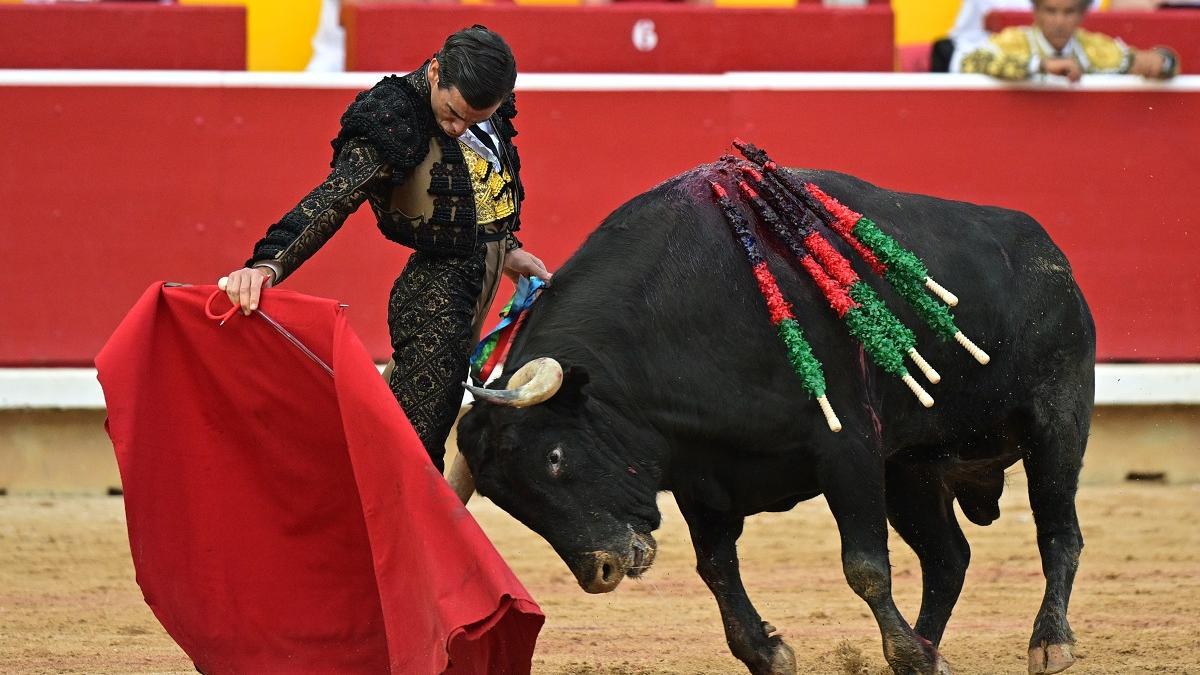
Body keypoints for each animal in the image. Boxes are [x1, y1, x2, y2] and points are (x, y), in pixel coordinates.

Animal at [456, 164, 1099, 672]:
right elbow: (716, 568)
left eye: (554, 457)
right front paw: (769, 653)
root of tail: (1052, 256)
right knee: (948, 558)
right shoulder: (701, 472)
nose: (602, 570)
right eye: (506, 501)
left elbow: (864, 566)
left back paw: (1048, 644)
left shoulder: (850, 447)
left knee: (1058, 532)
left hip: (1056, 422)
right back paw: (928, 650)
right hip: (912, 469)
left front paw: (906, 653)